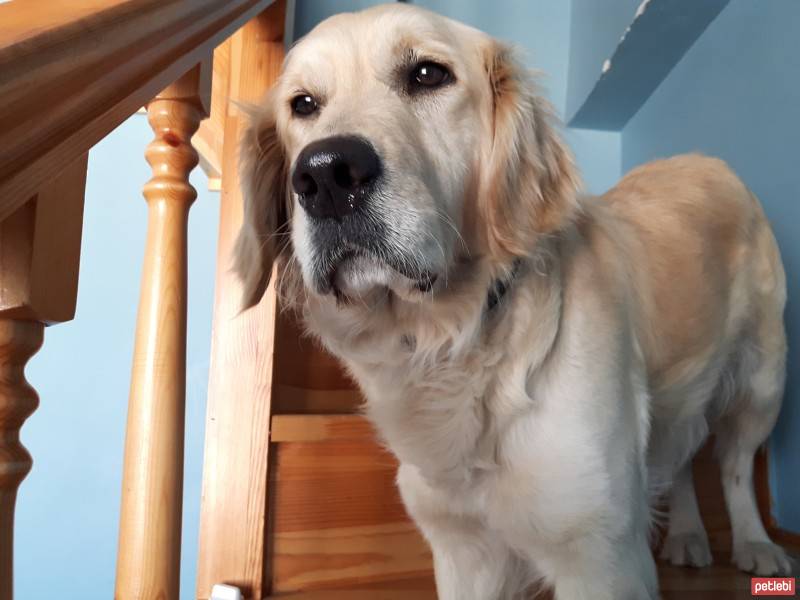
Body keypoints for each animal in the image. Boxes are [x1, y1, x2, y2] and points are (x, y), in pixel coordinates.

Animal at [234, 4, 792, 600]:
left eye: (428, 74)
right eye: (303, 104)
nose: (324, 176)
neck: (453, 343)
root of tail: (709, 160)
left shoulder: (600, 556)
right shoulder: (461, 550)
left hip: (763, 382)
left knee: (735, 465)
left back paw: (755, 543)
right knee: (683, 456)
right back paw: (688, 534)